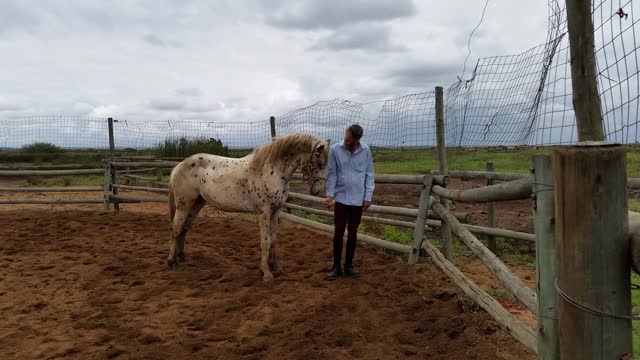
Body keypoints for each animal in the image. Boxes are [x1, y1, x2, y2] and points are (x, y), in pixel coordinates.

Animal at [165, 132, 330, 282]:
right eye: (320, 163)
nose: (319, 190)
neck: (271, 170)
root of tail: (179, 166)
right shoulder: (264, 212)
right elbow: (265, 241)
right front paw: (266, 273)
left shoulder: (275, 212)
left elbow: (273, 240)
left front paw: (276, 268)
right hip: (183, 206)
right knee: (175, 230)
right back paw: (172, 262)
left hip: (196, 204)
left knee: (184, 229)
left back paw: (181, 257)